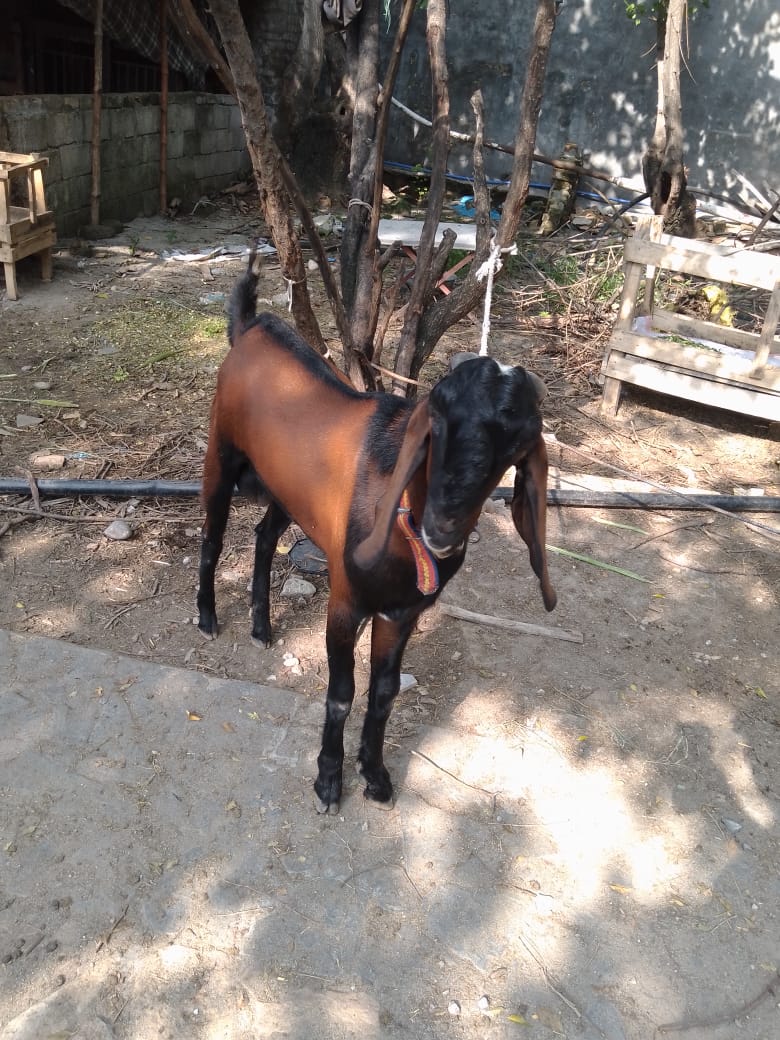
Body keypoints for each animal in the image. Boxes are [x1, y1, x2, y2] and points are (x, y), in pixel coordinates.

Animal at [197, 254, 557, 814]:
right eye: (438, 421)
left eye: (518, 445)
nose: (442, 528)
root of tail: (251, 326)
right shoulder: (346, 604)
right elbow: (342, 694)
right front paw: (328, 782)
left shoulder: (402, 612)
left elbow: (384, 692)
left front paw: (376, 774)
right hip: (221, 452)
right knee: (212, 537)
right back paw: (209, 617)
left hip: (286, 491)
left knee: (262, 535)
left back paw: (260, 626)